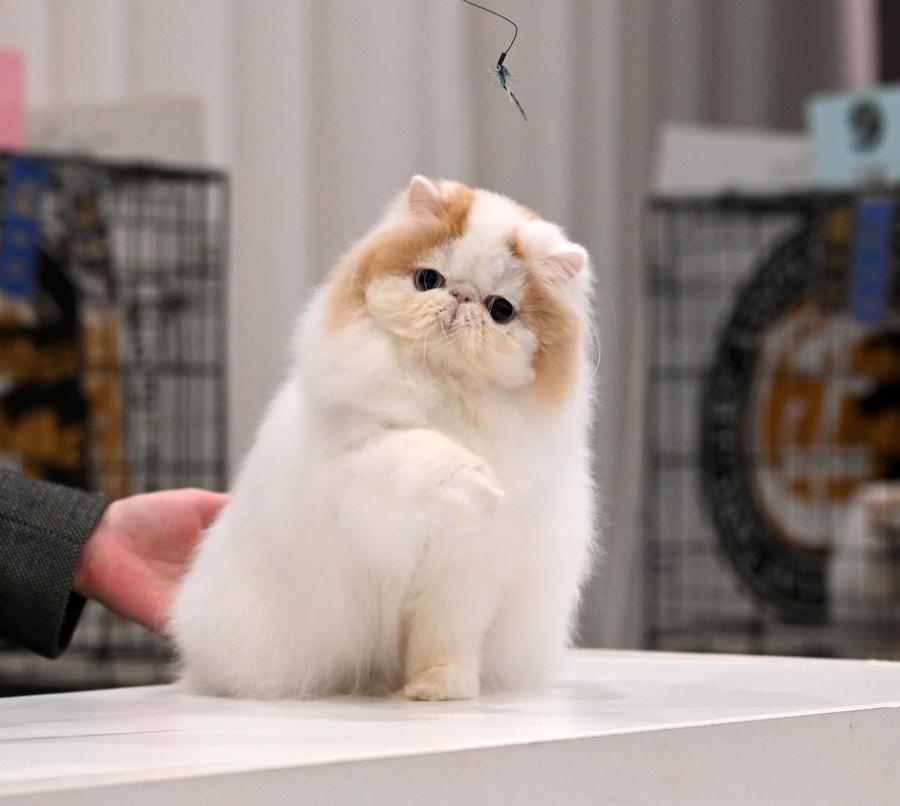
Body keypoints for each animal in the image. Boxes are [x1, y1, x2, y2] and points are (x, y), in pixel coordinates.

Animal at [171, 176, 597, 700]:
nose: (460, 297)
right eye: (428, 280)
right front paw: (474, 485)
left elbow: (445, 638)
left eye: (501, 310)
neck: (444, 386)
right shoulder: (358, 464)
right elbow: (419, 454)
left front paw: (440, 689)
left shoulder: (467, 571)